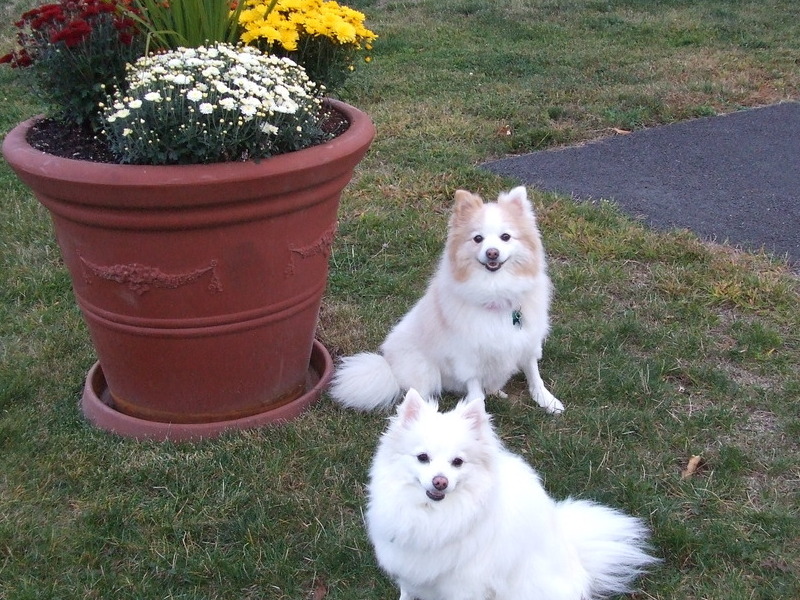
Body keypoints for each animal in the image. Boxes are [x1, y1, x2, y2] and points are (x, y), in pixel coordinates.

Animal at [326, 186, 564, 412]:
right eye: (478, 238)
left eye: (505, 237)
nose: (492, 253)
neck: (496, 291)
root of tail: (390, 367)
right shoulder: (469, 355)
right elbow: (475, 390)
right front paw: (480, 415)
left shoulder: (527, 341)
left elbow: (534, 374)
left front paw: (547, 400)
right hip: (426, 371)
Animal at [366, 390, 652, 600]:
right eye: (423, 457)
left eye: (457, 462)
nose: (440, 482)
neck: (433, 515)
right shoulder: (409, 567)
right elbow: (407, 590)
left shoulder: (464, 586)